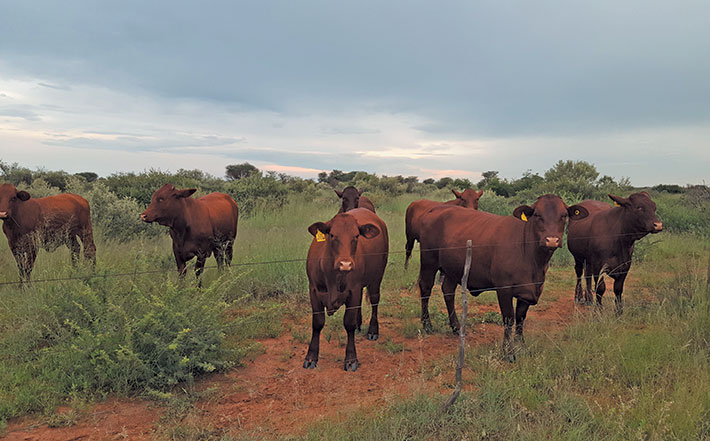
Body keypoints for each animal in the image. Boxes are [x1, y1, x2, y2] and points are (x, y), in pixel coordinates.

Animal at [302, 207, 386, 372]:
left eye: (356, 236)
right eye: (332, 235)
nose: (345, 264)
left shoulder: (353, 290)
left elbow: (349, 323)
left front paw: (351, 359)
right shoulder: (313, 290)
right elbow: (317, 323)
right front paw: (311, 357)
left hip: (377, 278)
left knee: (374, 301)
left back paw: (373, 330)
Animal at [420, 194, 588, 360]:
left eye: (564, 215)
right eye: (537, 215)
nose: (551, 240)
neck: (534, 261)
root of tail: (436, 208)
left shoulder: (527, 291)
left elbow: (520, 318)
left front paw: (522, 346)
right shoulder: (504, 289)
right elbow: (508, 319)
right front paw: (508, 352)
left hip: (452, 269)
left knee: (448, 291)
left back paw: (456, 327)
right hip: (429, 261)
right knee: (425, 288)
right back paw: (426, 324)